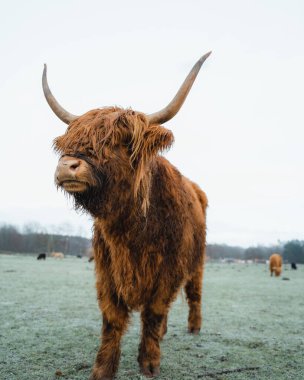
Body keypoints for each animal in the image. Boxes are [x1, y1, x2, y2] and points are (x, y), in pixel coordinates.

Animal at [41, 52, 210, 378]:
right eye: (71, 140)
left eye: (119, 141)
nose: (67, 165)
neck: (131, 228)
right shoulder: (106, 270)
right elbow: (113, 318)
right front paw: (103, 368)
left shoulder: (168, 270)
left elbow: (153, 312)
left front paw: (149, 362)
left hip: (196, 262)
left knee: (194, 294)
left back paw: (194, 328)